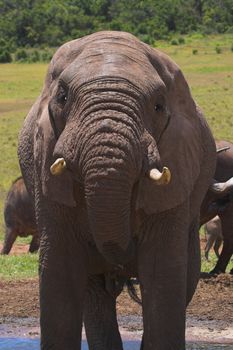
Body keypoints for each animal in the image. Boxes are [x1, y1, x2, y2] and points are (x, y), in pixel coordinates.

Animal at [18, 30, 217, 350]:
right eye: (62, 97)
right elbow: (60, 271)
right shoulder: (43, 163)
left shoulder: (179, 162)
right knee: (94, 295)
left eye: (158, 106)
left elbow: (163, 274)